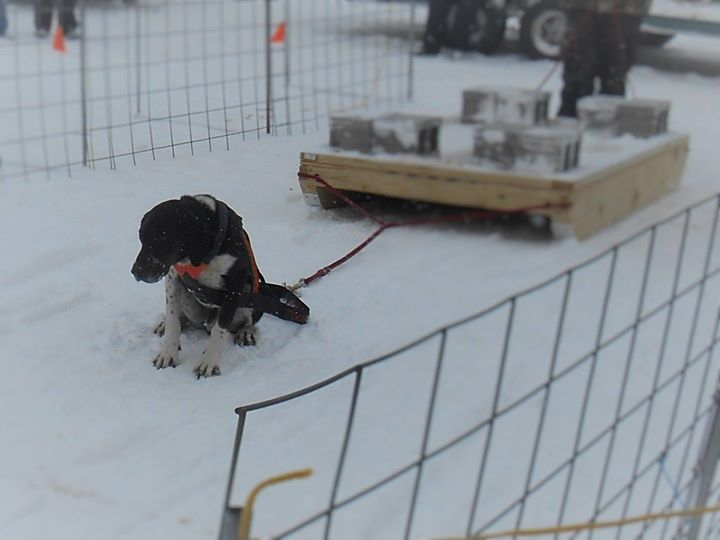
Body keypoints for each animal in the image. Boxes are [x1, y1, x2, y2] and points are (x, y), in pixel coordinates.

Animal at [132, 195, 306, 380]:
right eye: (141, 239)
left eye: (162, 238)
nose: (135, 272)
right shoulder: (173, 276)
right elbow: (173, 320)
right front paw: (168, 353)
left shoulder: (235, 281)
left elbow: (220, 328)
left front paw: (208, 362)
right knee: (181, 317)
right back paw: (165, 323)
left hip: (249, 290)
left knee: (250, 320)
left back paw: (246, 332)